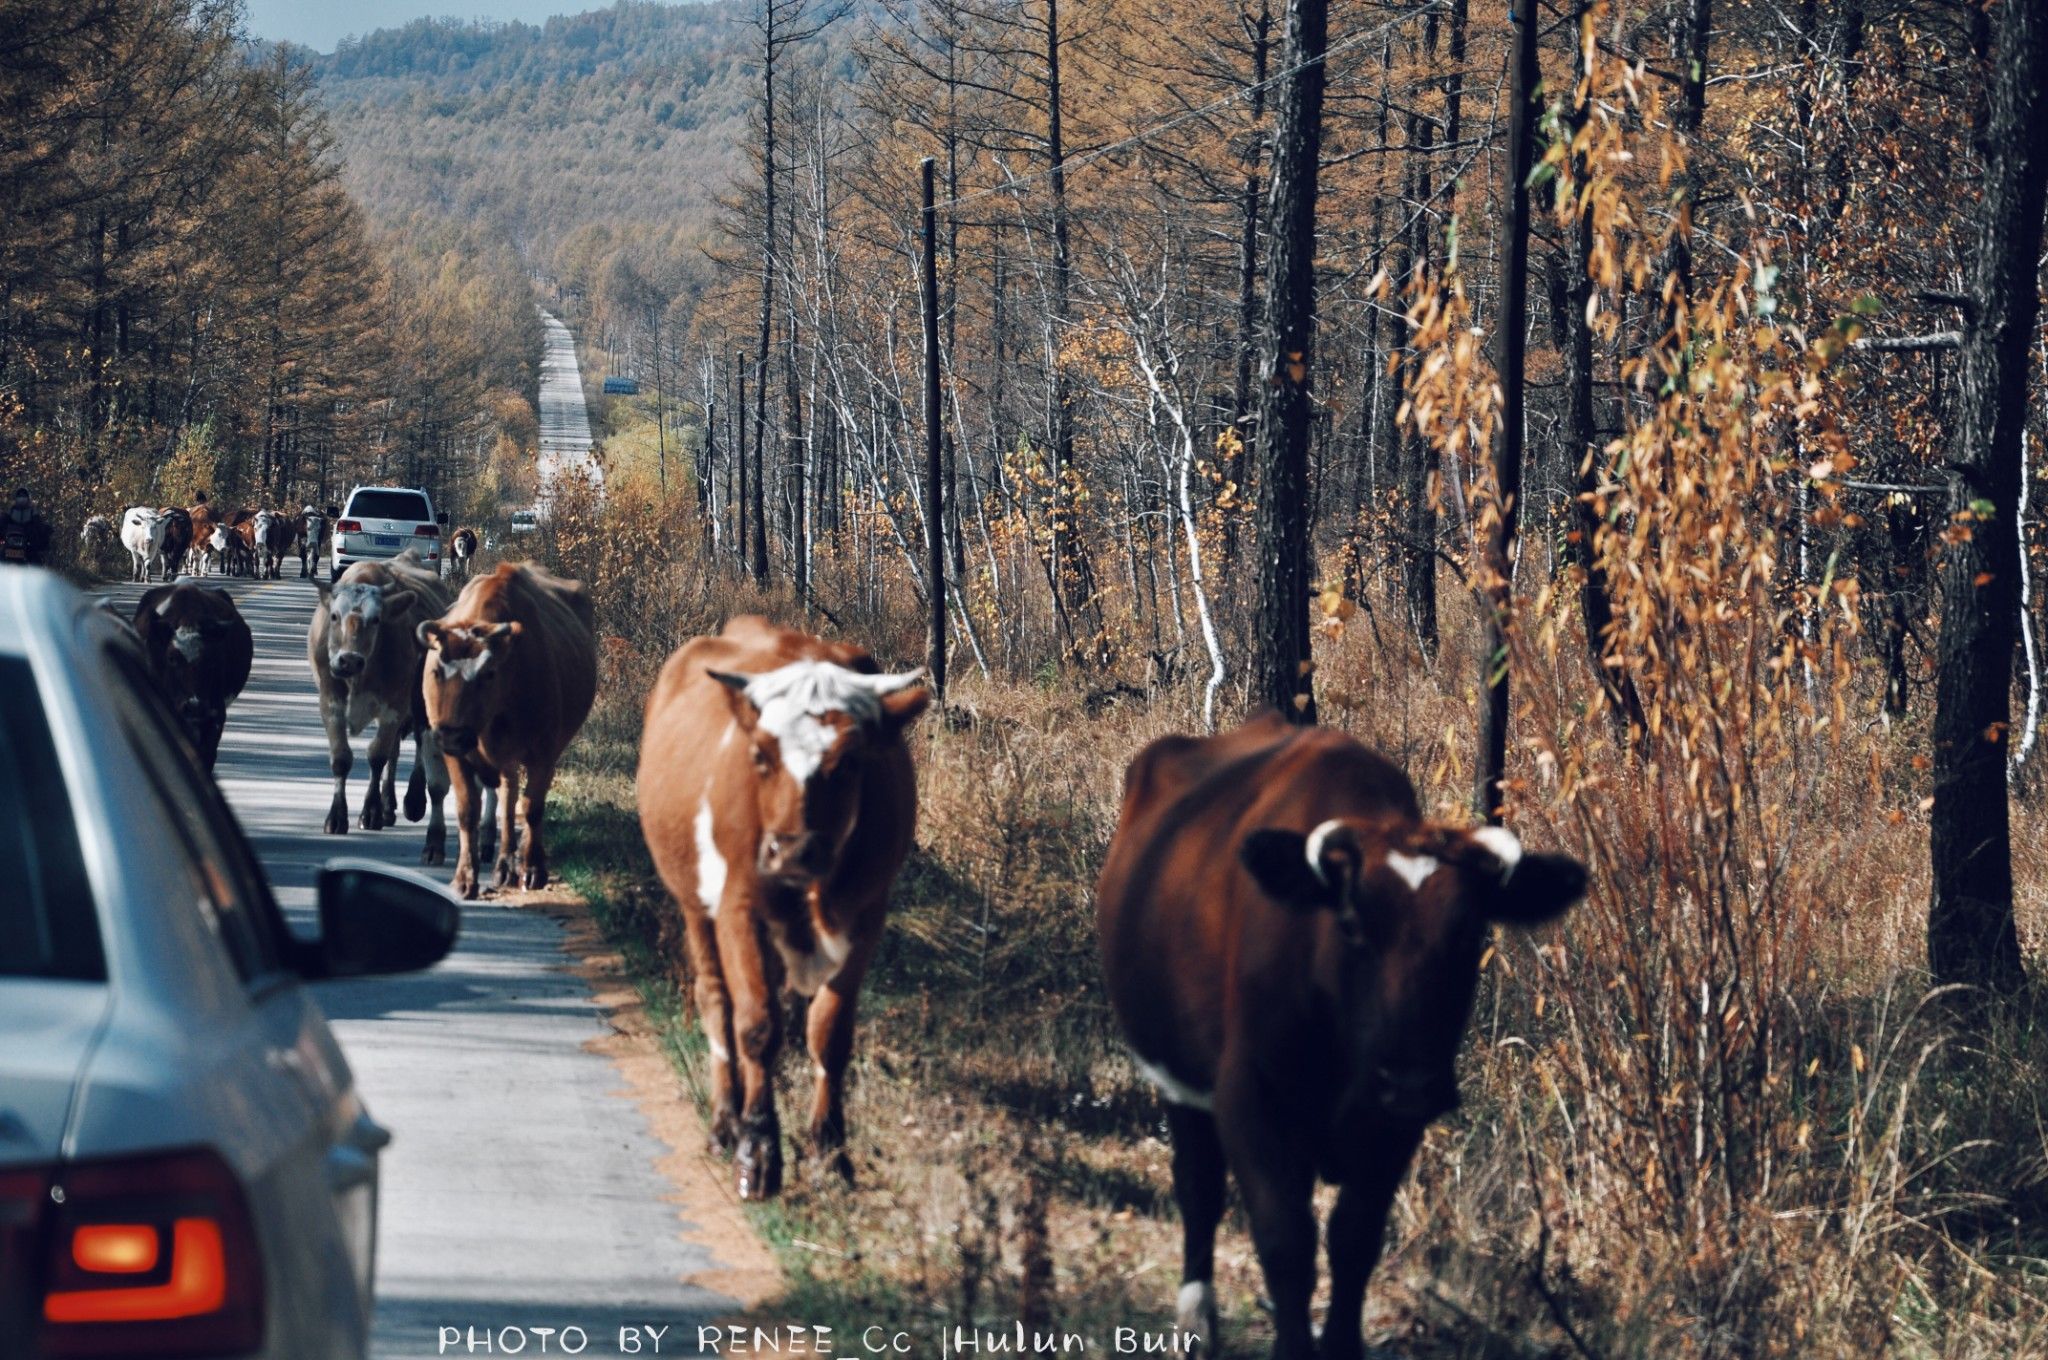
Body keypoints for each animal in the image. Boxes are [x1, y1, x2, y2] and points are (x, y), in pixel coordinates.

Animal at [305, 544, 454, 856]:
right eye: (334, 616)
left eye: (376, 620)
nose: (348, 660)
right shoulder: (330, 701)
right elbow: (341, 758)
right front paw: (337, 817)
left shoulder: (393, 707)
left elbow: (377, 756)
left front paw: (371, 812)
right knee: (396, 752)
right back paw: (389, 805)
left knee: (415, 747)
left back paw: (411, 802)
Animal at [417, 561, 598, 901]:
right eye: (436, 670)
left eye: (488, 674)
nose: (452, 735)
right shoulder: (457, 755)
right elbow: (468, 810)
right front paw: (465, 878)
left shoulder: (542, 754)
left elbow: (531, 807)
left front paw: (532, 869)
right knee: (506, 794)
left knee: (513, 799)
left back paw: (509, 864)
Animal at [634, 614, 933, 1204]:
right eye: (760, 756)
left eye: (850, 761)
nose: (793, 852)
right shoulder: (739, 909)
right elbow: (756, 1025)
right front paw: (759, 1153)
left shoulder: (868, 915)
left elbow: (829, 1033)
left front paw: (829, 1153)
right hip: (695, 905)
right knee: (717, 1000)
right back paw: (725, 1124)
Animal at [1097, 712, 1589, 1360]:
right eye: (1352, 923)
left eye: (1472, 932)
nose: (1411, 1078)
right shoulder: (1250, 1099)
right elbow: (1286, 1242)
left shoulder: (1393, 1123)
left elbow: (1354, 1241)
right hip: (1176, 1076)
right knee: (1198, 1186)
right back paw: (1196, 1320)